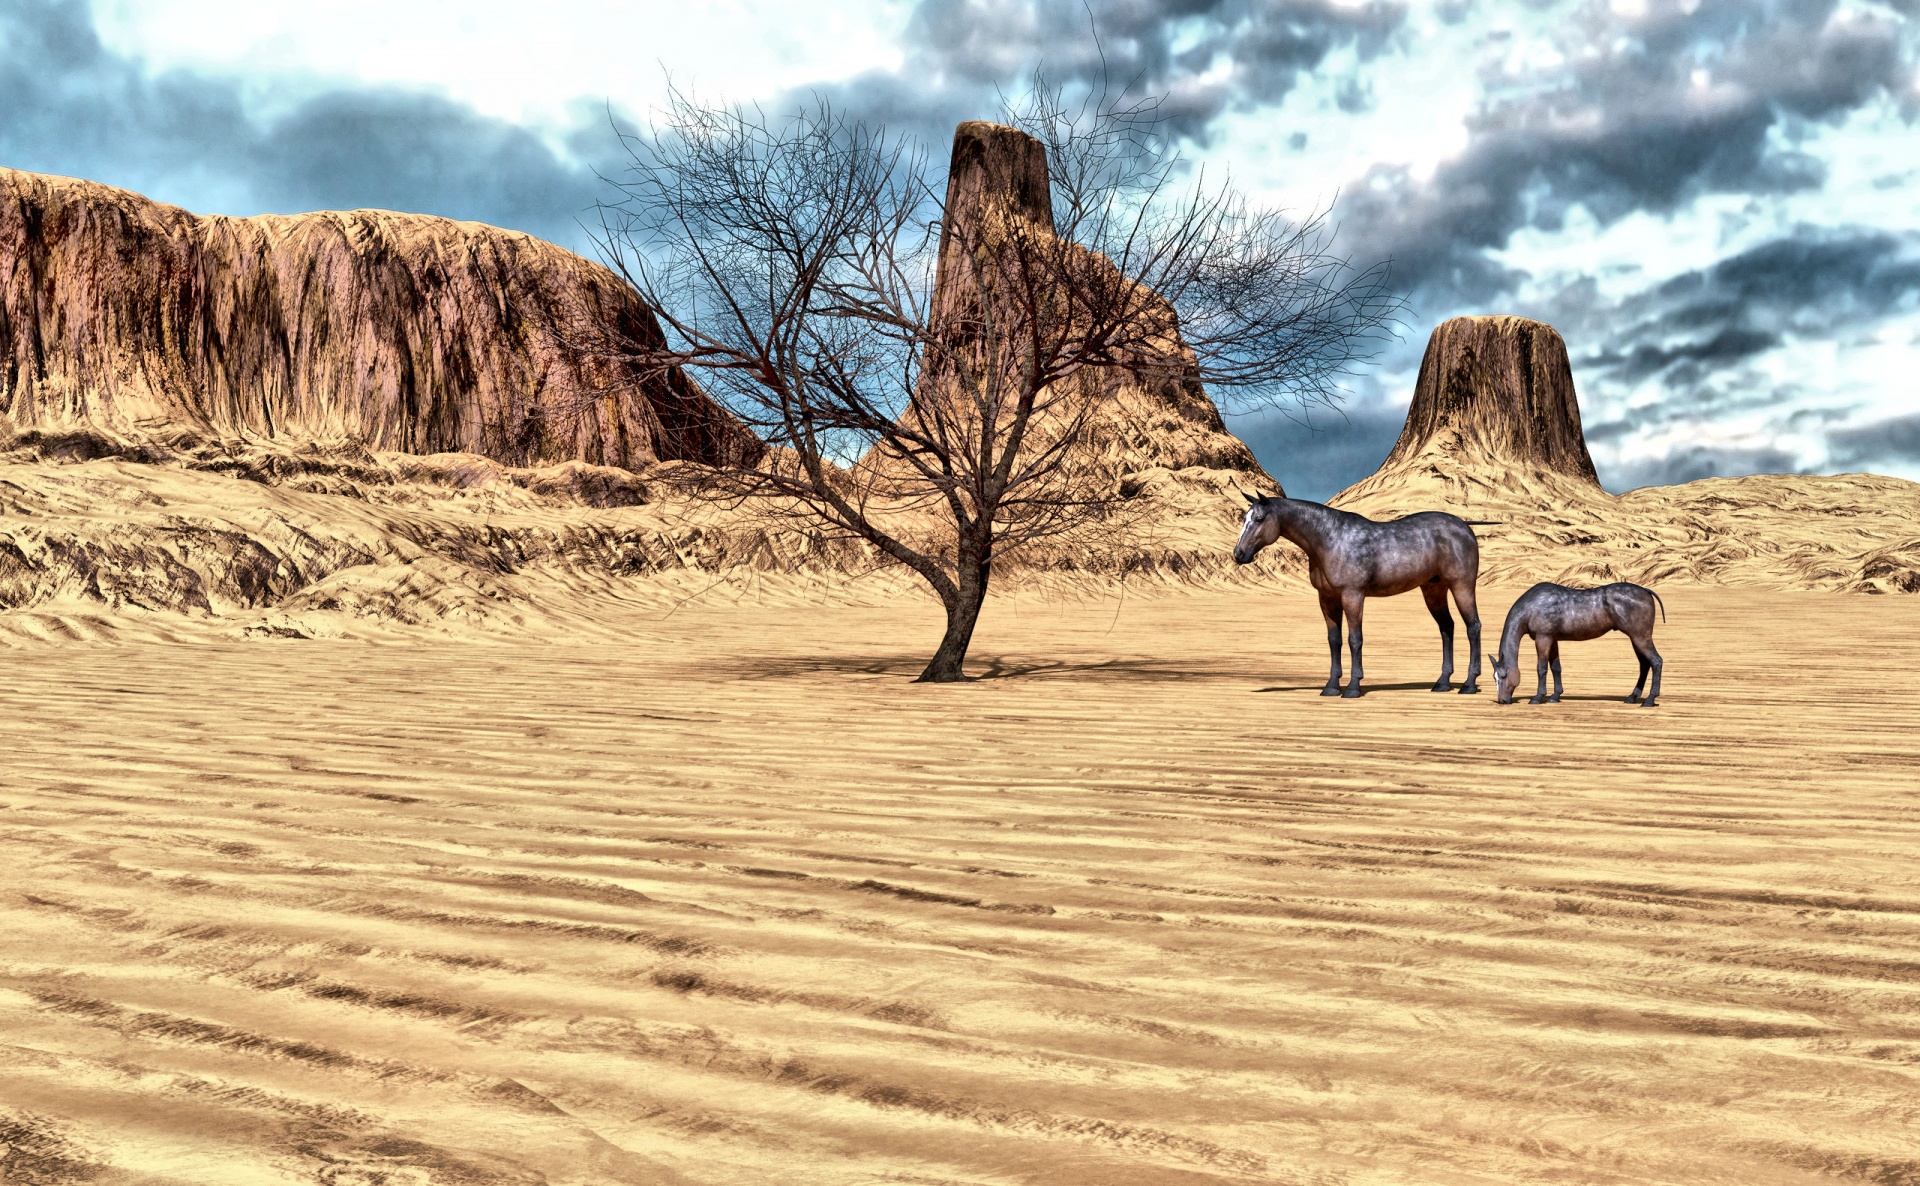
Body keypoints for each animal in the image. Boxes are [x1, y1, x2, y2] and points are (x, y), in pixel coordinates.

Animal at [1236, 495, 1489, 698]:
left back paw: (1468, 684)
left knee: (1473, 627)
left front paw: (1352, 688)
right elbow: (1334, 640)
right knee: (1447, 627)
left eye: (1259, 519)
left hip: (1462, 586)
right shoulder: (1327, 598)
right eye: (1244, 518)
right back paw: (1442, 682)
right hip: (1434, 590)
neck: (1329, 539)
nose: (1239, 554)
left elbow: (1354, 639)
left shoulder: (1353, 594)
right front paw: (1331, 687)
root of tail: (1464, 525)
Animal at [1482, 579, 1666, 702]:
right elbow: (1556, 668)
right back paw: (1632, 696)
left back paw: (1650, 699)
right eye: (1494, 678)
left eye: (1503, 675)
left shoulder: (1543, 638)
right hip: (1636, 639)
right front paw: (1555, 696)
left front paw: (1538, 697)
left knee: (1656, 661)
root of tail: (1645, 591)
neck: (1532, 606)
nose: (1502, 700)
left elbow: (1541, 668)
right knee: (1644, 664)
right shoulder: (1552, 640)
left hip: (1640, 637)